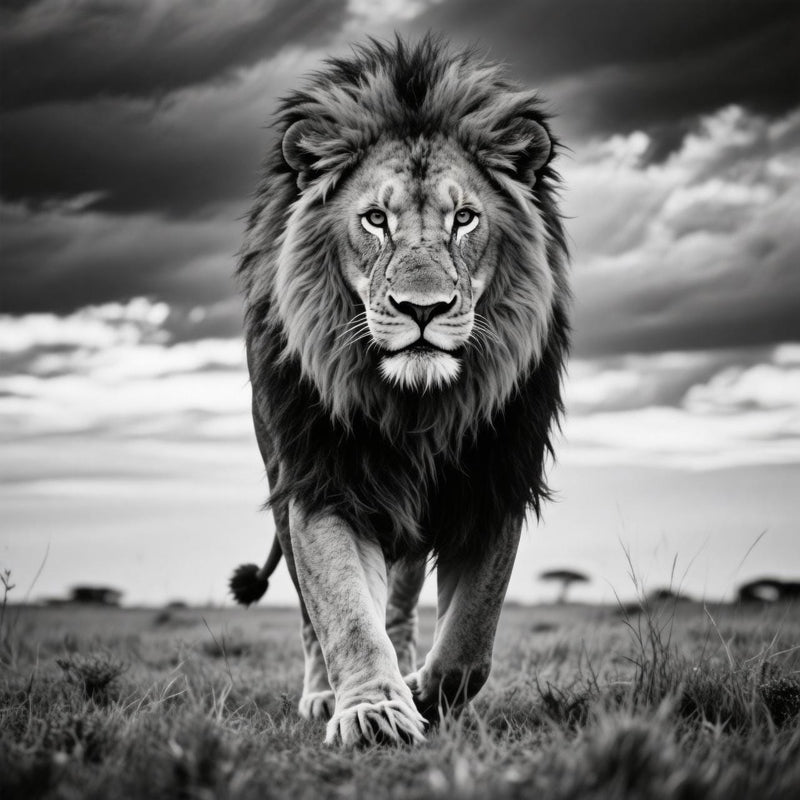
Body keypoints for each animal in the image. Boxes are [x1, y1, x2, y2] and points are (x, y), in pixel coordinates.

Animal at [230, 35, 570, 746]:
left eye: (464, 219)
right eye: (375, 220)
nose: (422, 308)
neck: (416, 408)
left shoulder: (495, 482)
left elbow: (471, 640)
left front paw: (422, 693)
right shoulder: (322, 480)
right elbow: (342, 613)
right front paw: (372, 711)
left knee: (403, 603)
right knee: (312, 615)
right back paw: (322, 695)